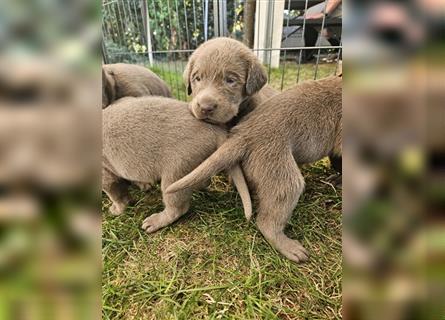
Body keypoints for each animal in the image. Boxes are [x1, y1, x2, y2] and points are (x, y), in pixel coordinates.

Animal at [102, 95, 251, 232]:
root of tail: (214, 129)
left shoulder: (105, 172)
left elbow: (115, 192)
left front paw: (117, 209)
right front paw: (143, 185)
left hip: (176, 169)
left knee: (178, 208)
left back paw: (154, 222)